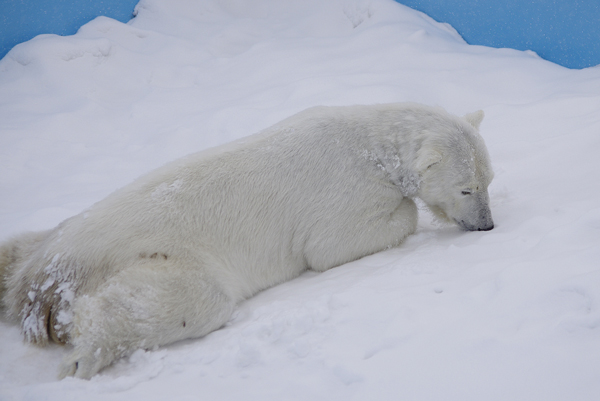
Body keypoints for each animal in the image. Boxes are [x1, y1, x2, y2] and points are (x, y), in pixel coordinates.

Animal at [0, 103, 492, 378]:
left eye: (488, 179)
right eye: (467, 189)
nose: (486, 226)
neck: (373, 140)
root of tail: (44, 275)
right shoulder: (340, 191)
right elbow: (332, 244)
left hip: (50, 235)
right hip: (162, 255)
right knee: (189, 301)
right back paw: (85, 358)